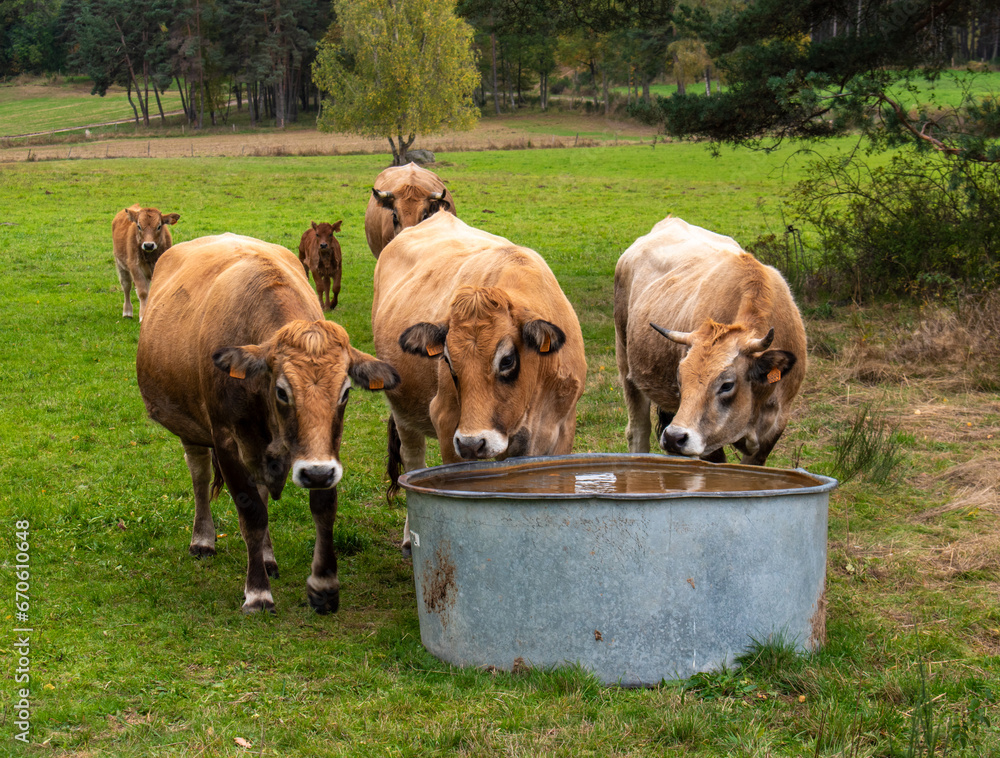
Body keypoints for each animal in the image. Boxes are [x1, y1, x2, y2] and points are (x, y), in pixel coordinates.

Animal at [136, 233, 400, 614]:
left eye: (346, 392)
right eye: (282, 391)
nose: (314, 474)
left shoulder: (324, 452)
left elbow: (323, 507)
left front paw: (323, 585)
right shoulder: (227, 442)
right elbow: (252, 514)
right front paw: (257, 591)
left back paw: (268, 557)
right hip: (193, 428)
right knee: (200, 476)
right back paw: (203, 539)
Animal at [372, 212, 586, 554]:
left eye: (507, 360)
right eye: (447, 360)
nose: (474, 443)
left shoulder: (561, 429)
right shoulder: (448, 422)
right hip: (403, 412)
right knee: (413, 458)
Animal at [614, 216, 806, 465]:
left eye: (727, 385)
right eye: (680, 378)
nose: (674, 437)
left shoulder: (774, 427)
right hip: (627, 366)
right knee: (638, 432)